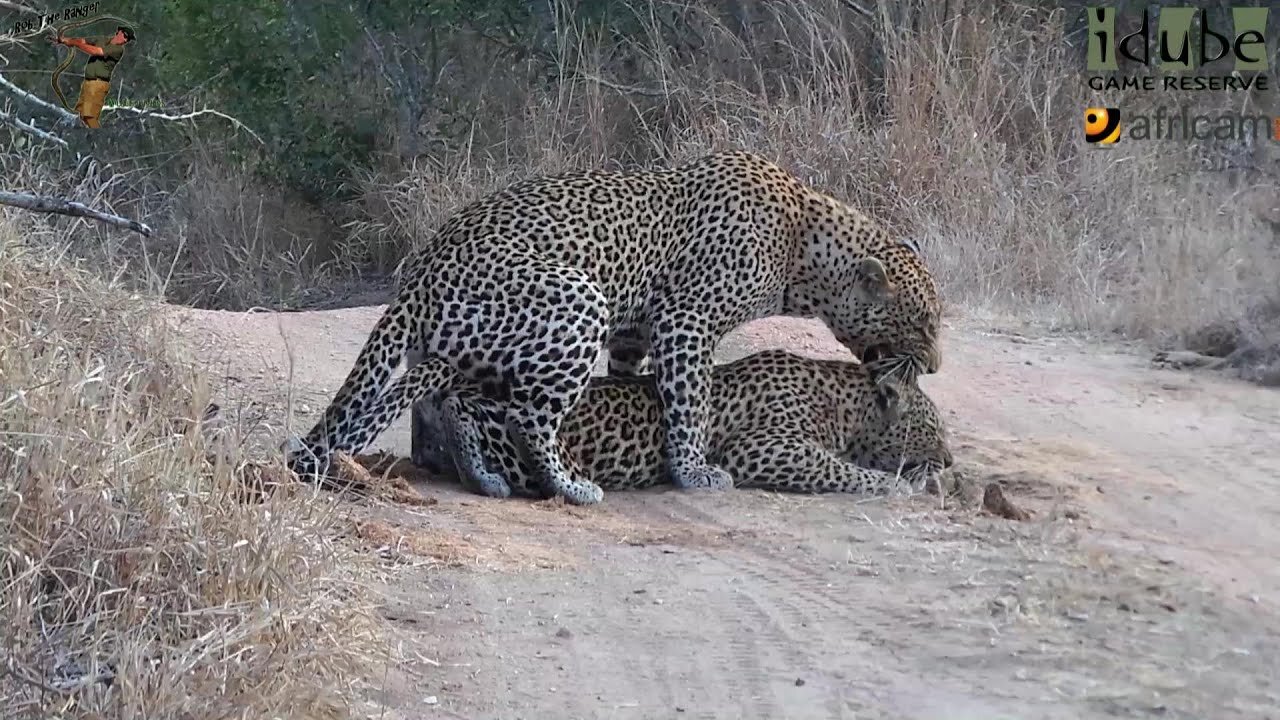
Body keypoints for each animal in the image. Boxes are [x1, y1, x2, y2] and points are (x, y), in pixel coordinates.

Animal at [414, 348, 957, 499]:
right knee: (467, 417)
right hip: (527, 447)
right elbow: (841, 469)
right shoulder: (760, 449)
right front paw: (898, 483)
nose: (951, 459)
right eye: (933, 429)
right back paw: (481, 474)